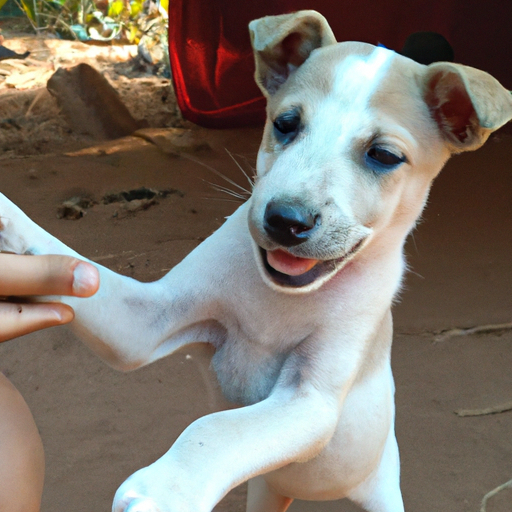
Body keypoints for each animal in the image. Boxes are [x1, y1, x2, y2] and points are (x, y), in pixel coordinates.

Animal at [1, 10, 512, 512]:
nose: (286, 219)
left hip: (381, 489)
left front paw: (165, 490)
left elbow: (217, 428)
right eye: (285, 123)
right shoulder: (143, 326)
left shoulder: (310, 399)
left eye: (384, 155)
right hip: (266, 491)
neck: (278, 301)